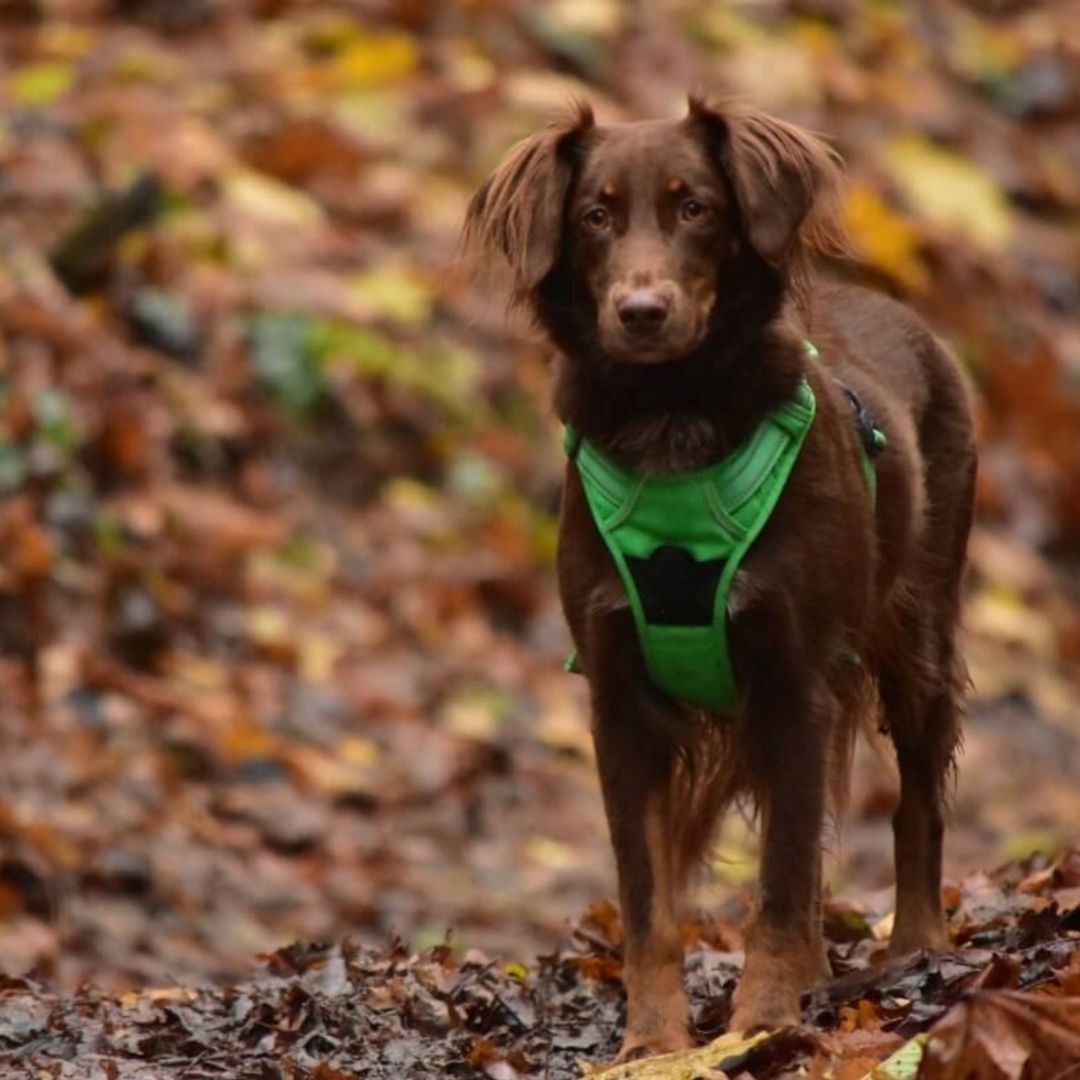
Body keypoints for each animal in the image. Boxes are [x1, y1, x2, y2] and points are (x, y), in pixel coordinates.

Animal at [460, 101, 976, 1062]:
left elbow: (780, 883)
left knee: (915, 801)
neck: (672, 419)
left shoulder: (795, 681)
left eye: (695, 207)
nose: (641, 311)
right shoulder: (618, 698)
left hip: (920, 631)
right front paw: (652, 1043)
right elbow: (649, 902)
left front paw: (762, 1021)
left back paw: (917, 948)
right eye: (594, 216)